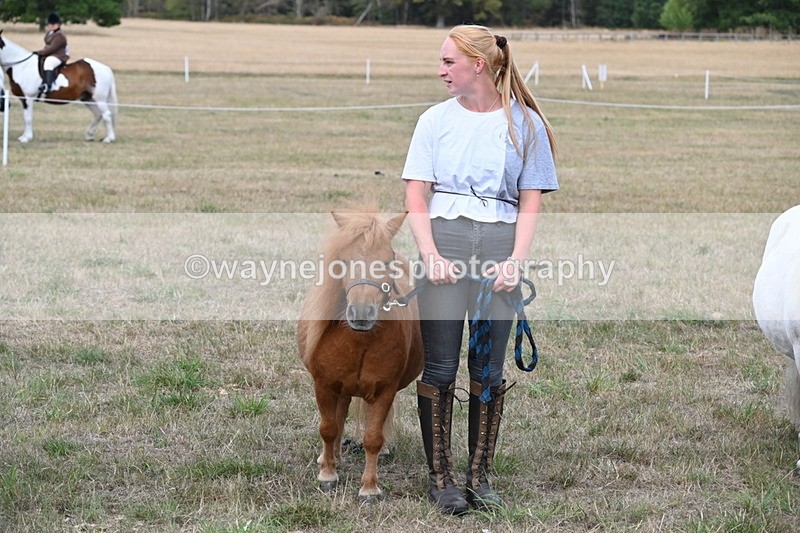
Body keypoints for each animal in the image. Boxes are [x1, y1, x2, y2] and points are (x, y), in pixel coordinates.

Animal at [297, 210, 424, 501]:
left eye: (387, 260)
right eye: (343, 261)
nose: (362, 314)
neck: (359, 341)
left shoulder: (385, 390)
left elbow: (373, 438)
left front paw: (369, 487)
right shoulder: (324, 385)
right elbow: (329, 427)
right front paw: (328, 474)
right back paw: (330, 457)